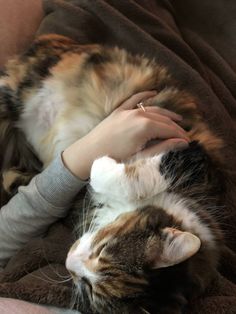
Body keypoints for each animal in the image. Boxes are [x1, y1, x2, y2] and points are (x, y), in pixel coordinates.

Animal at [0, 34, 224, 314]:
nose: (70, 261)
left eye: (87, 287)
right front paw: (101, 162)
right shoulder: (194, 156)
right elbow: (134, 176)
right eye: (102, 249)